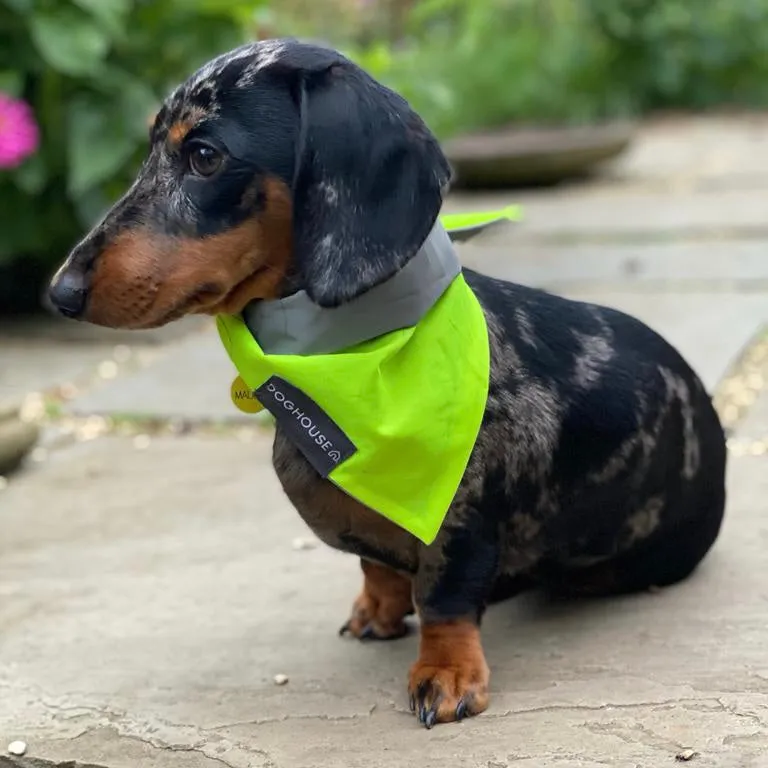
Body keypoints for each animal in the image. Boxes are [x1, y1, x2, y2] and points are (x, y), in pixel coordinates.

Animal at [48, 39, 728, 728]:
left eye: (205, 156)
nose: (60, 293)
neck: (341, 354)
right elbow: (375, 564)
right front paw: (377, 608)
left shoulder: (461, 519)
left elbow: (445, 594)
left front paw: (447, 672)